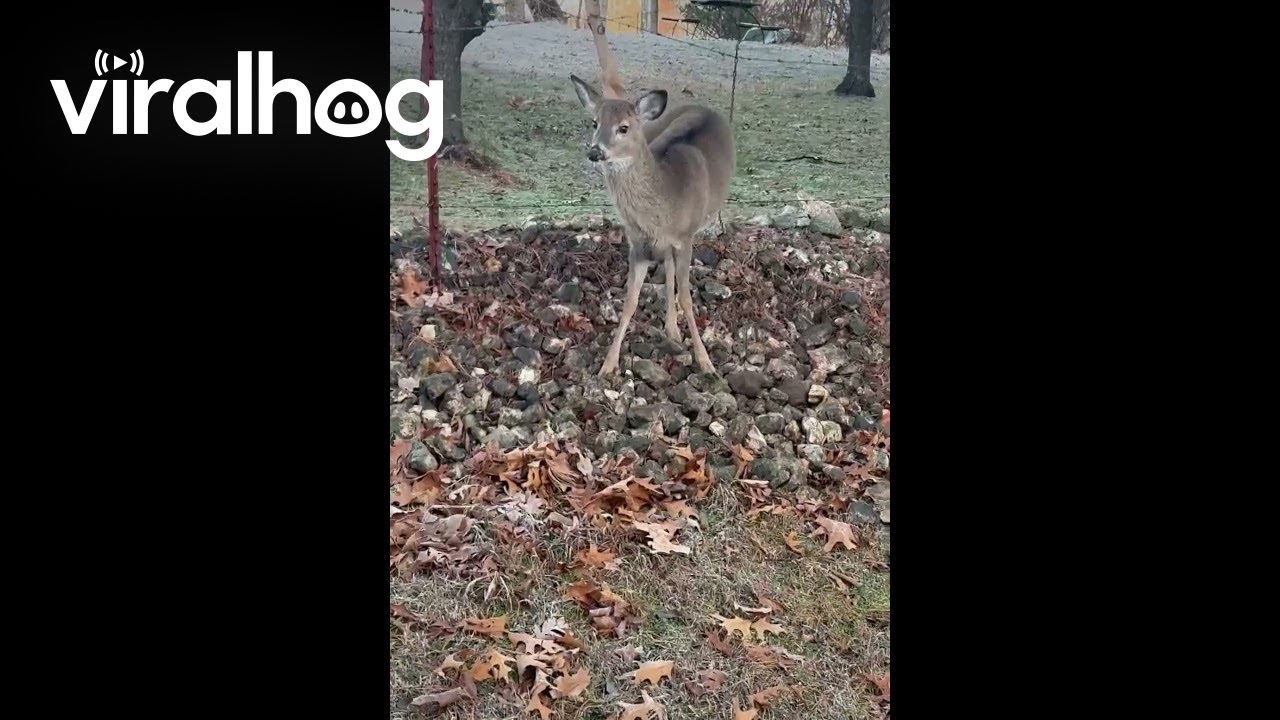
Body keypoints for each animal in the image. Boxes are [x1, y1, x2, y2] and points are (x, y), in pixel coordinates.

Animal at [568, 74, 735, 378]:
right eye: (594, 122)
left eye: (623, 127)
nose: (595, 152)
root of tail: (706, 108)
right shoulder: (637, 244)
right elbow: (630, 301)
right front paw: (608, 364)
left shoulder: (686, 237)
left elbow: (687, 298)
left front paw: (705, 362)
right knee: (667, 265)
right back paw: (670, 328)